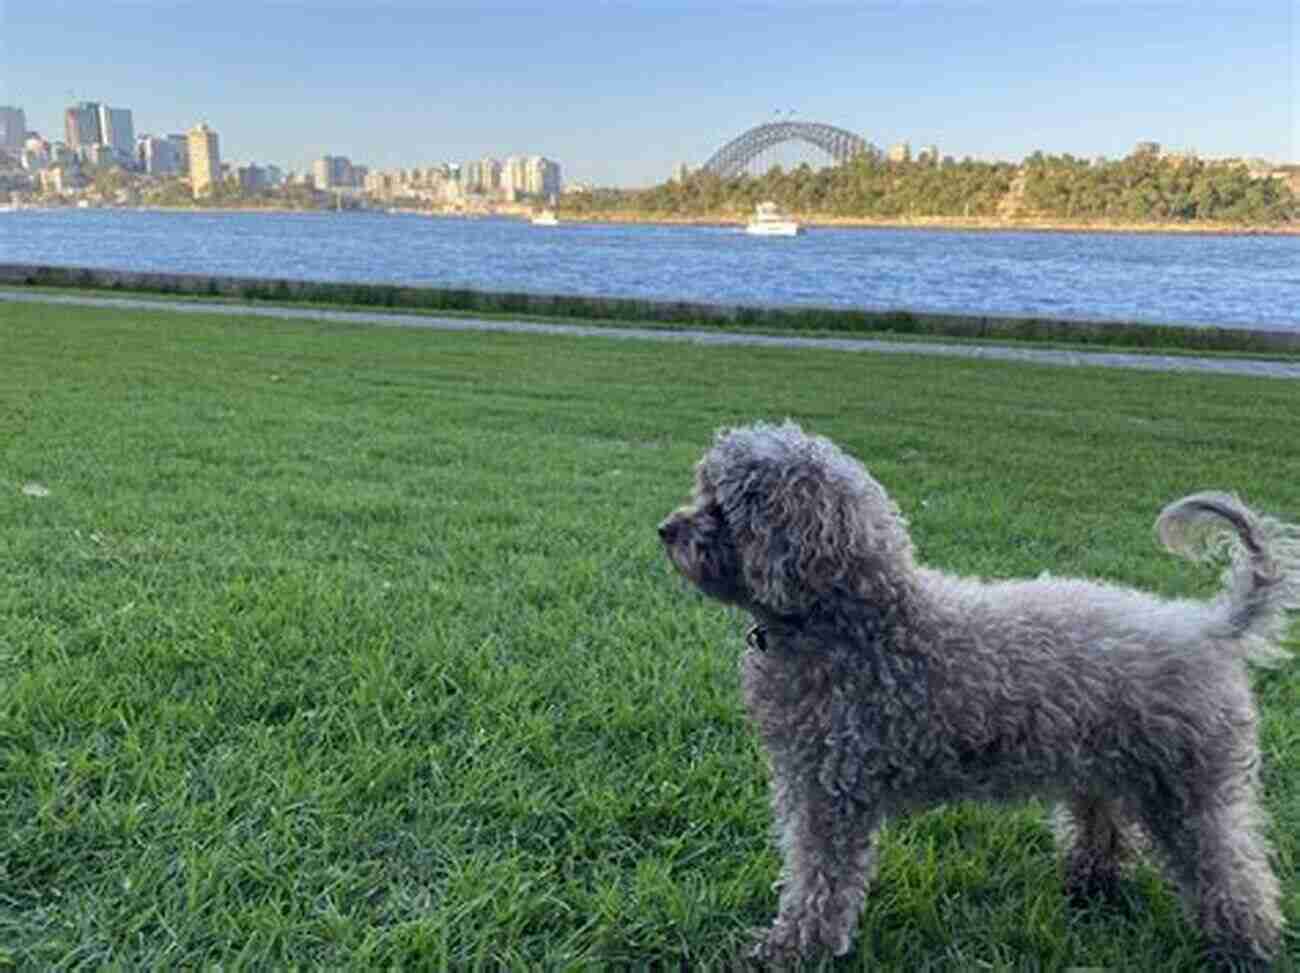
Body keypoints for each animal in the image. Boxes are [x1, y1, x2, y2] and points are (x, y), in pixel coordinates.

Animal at [660, 421, 1300, 967]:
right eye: (705, 490)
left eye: (724, 507)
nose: (667, 529)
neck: (859, 623)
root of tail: (1210, 627)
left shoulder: (830, 792)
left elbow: (818, 880)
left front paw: (792, 949)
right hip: (1106, 766)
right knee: (1107, 831)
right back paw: (1088, 887)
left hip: (1188, 788)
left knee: (1232, 869)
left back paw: (1245, 947)